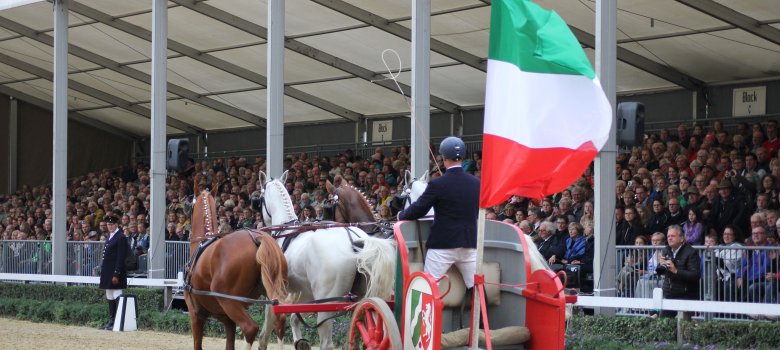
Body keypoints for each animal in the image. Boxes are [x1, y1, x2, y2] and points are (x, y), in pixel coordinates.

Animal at [185, 191, 290, 350]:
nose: (186, 231)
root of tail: (257, 238)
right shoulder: (228, 320)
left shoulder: (196, 314)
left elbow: (198, 345)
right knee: (280, 321)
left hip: (229, 302)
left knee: (250, 328)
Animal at [258, 172, 396, 350]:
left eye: (259, 198)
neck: (286, 229)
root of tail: (355, 241)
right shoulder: (306, 295)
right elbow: (294, 318)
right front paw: (301, 342)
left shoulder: (276, 293)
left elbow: (268, 327)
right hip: (365, 297)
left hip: (327, 303)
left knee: (326, 342)